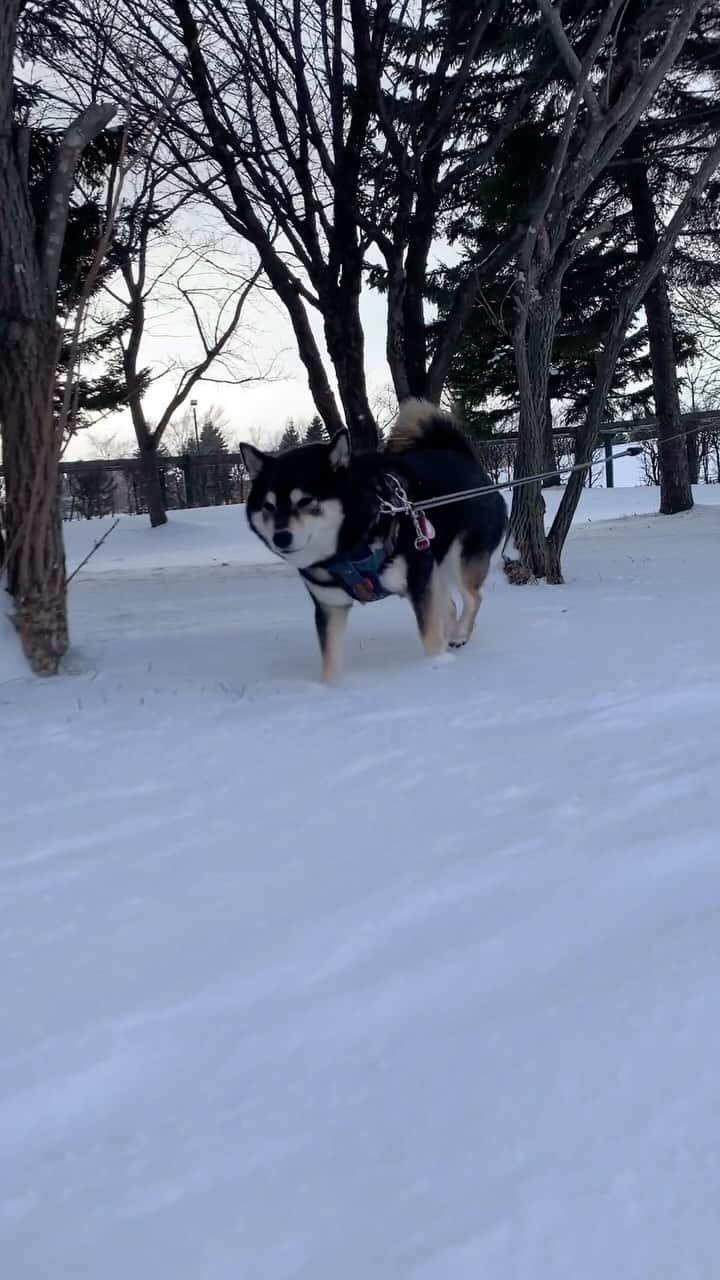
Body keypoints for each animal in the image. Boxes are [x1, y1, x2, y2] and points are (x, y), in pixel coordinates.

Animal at [239, 396, 504, 680]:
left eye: (305, 501)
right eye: (268, 506)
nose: (281, 537)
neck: (348, 547)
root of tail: (461, 455)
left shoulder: (419, 579)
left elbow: (430, 638)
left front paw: (434, 667)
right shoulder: (330, 605)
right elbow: (330, 662)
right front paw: (327, 688)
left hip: (458, 558)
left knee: (472, 597)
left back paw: (459, 635)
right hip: (436, 567)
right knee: (451, 604)